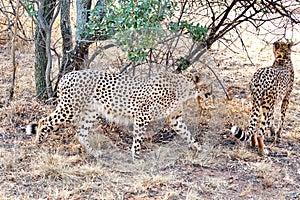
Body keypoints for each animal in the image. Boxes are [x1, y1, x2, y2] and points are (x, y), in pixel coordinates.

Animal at [27, 67, 212, 159]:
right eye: (207, 84)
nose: (211, 93)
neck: (185, 89)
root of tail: (67, 74)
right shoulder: (142, 115)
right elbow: (138, 138)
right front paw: (136, 155)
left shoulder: (175, 119)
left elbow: (187, 133)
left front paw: (198, 147)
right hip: (69, 109)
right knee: (44, 121)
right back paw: (38, 142)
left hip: (90, 112)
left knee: (81, 133)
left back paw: (94, 153)